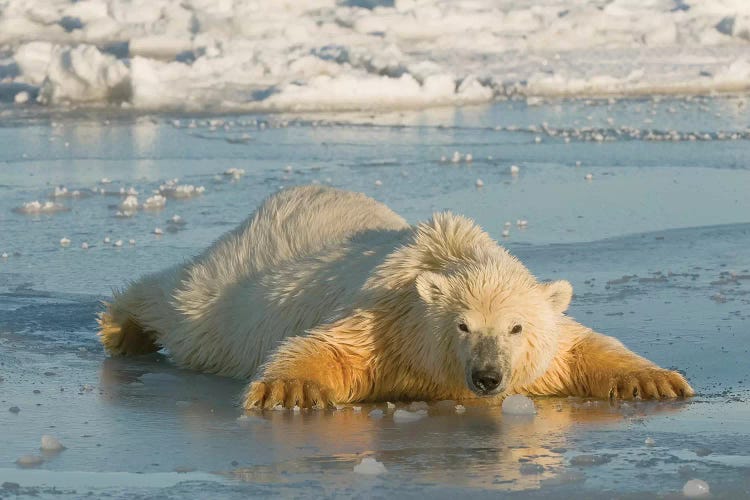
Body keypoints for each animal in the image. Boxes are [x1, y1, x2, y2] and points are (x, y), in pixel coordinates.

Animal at [97, 186, 696, 408]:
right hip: (239, 277)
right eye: (462, 325)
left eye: (516, 327)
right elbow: (330, 349)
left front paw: (657, 381)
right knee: (185, 303)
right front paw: (291, 391)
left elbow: (582, 348)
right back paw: (122, 326)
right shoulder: (386, 323)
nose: (487, 377)